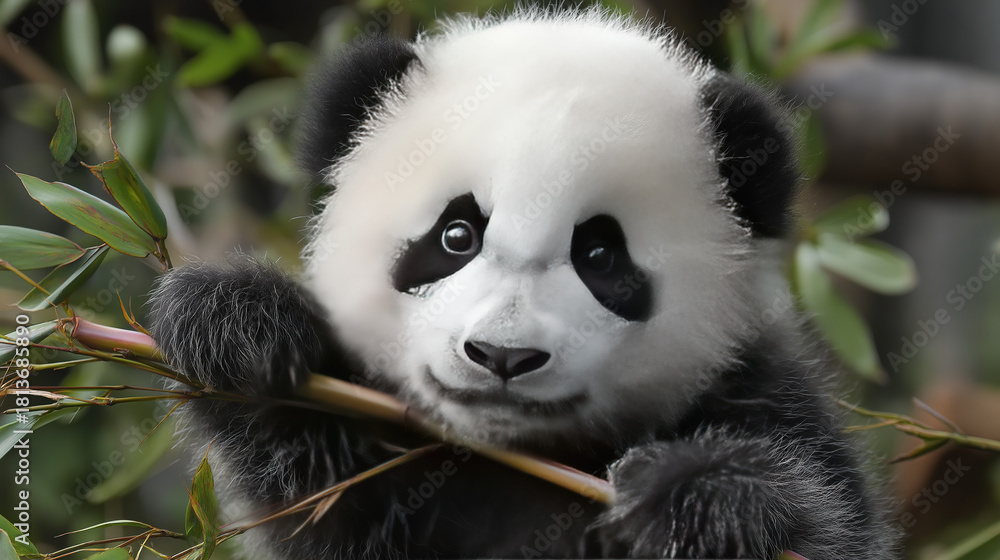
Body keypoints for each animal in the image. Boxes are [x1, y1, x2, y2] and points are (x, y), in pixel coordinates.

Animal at [149, 8, 899, 560]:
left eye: (599, 255)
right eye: (456, 235)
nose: (502, 357)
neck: (521, 454)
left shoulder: (760, 396)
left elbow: (831, 523)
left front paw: (697, 502)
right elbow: (318, 493)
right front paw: (239, 323)